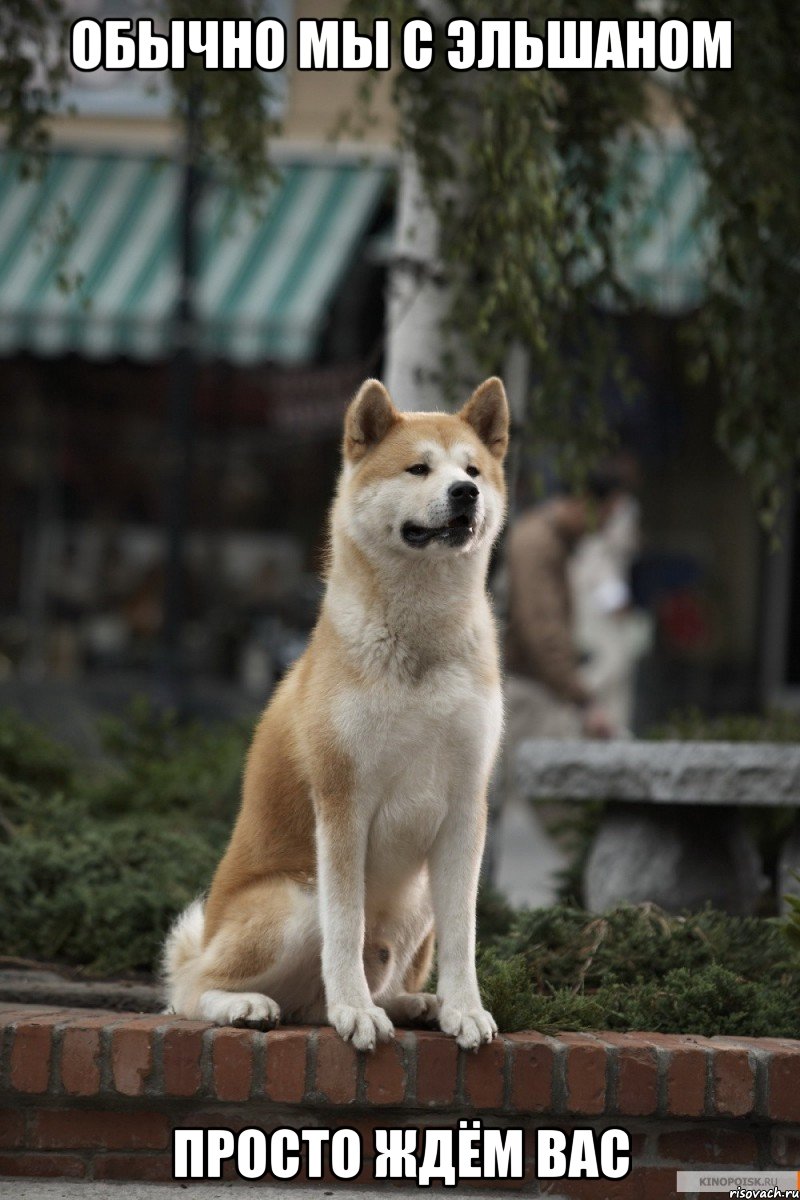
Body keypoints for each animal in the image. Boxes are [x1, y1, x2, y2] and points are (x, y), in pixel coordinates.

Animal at [165, 376, 510, 1051]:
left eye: (473, 470)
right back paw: (250, 1005)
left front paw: (464, 1008)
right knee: (189, 990)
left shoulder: (466, 806)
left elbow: (465, 935)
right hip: (296, 900)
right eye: (418, 468)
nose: (466, 493)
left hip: (417, 900)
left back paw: (415, 1004)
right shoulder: (343, 801)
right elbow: (346, 928)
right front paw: (355, 1011)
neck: (420, 644)